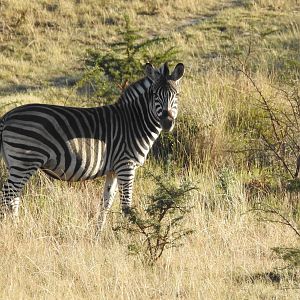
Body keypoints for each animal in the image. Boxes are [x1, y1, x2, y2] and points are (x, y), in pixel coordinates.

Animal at [0, 61, 184, 231]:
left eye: (176, 94)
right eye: (154, 94)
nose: (167, 123)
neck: (134, 121)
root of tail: (7, 116)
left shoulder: (113, 169)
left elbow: (106, 203)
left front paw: (98, 234)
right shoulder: (126, 165)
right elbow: (126, 206)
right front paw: (129, 235)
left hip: (15, 163)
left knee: (13, 198)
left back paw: (16, 227)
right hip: (25, 160)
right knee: (7, 195)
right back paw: (13, 231)